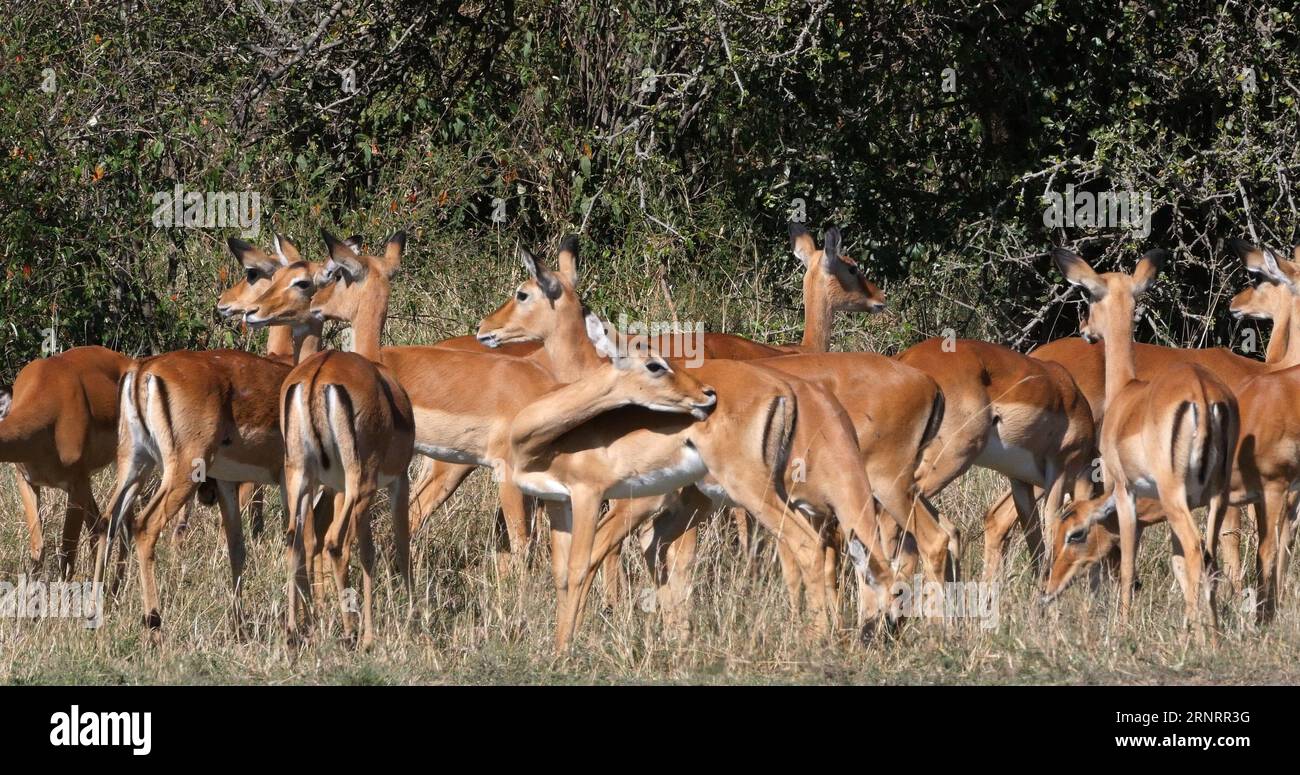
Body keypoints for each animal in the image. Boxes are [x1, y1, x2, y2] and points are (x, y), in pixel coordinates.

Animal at [0, 346, 131, 577]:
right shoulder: (27, 481)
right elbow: (38, 549)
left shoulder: (75, 485)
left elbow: (67, 555)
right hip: (88, 483)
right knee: (99, 526)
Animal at [244, 230, 415, 647]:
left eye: (336, 276)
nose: (319, 306)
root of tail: (316, 377)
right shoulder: (394, 481)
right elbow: (395, 545)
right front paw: (411, 621)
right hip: (357, 481)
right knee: (338, 542)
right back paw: (354, 633)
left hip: (300, 476)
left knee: (295, 539)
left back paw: (295, 629)